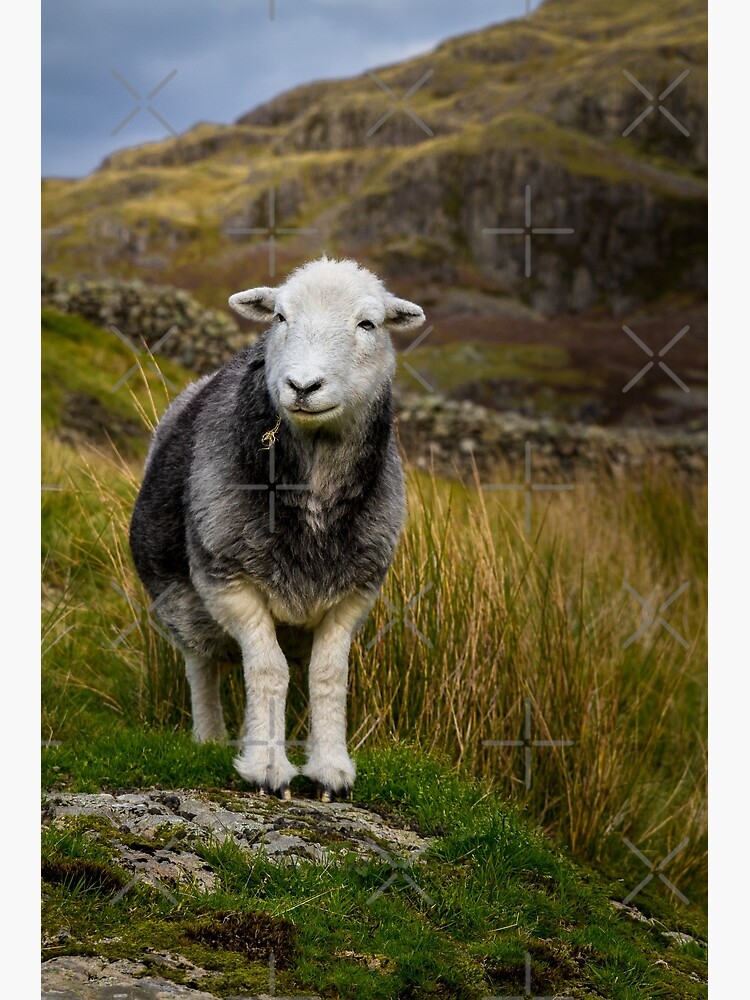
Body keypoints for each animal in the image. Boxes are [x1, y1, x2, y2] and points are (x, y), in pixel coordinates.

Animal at [129, 257, 425, 800]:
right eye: (281, 317)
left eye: (368, 324)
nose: (303, 386)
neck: (314, 495)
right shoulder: (229, 580)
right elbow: (268, 668)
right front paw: (267, 767)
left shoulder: (355, 592)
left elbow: (327, 674)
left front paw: (330, 771)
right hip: (183, 603)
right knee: (201, 663)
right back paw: (210, 737)